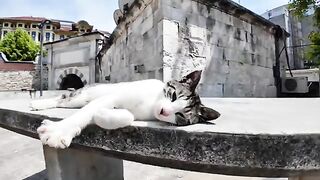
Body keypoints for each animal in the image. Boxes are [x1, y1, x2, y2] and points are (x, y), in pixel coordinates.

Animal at [30, 70, 220, 149]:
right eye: (173, 96)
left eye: (180, 115)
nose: (164, 111)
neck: (151, 105)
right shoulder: (112, 96)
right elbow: (86, 113)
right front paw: (59, 131)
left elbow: (127, 116)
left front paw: (102, 115)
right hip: (81, 96)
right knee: (64, 98)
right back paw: (39, 103)